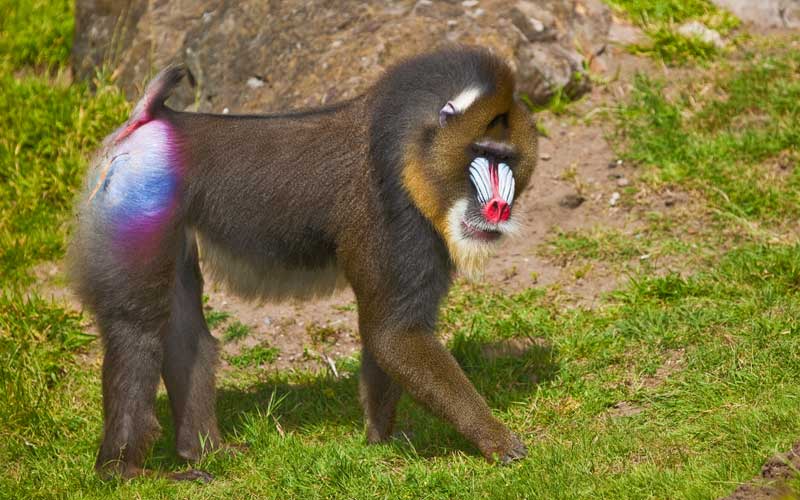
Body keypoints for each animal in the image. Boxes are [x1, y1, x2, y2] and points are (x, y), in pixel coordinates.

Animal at [67, 46, 538, 480]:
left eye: (507, 159)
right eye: (481, 152)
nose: (498, 208)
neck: (413, 152)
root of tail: (152, 120)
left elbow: (385, 345)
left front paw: (380, 441)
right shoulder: (397, 225)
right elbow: (394, 336)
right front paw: (498, 441)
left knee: (186, 333)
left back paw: (205, 452)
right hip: (140, 209)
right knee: (137, 332)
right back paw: (124, 471)